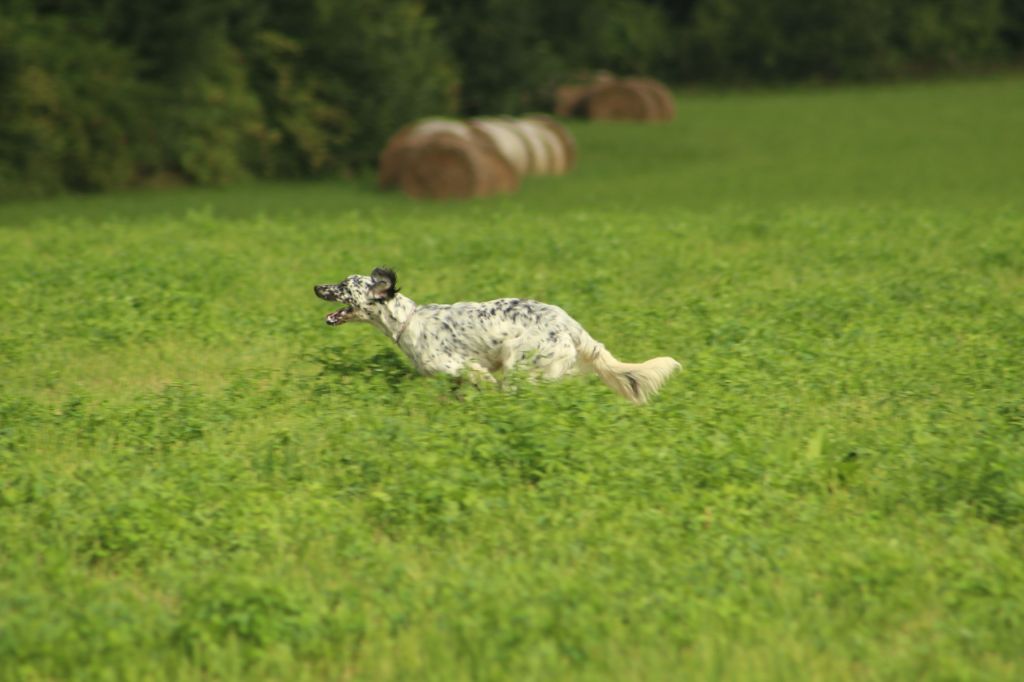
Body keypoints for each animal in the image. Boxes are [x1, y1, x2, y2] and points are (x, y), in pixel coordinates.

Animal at [311, 266, 679, 403]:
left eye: (344, 285)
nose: (316, 287)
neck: (410, 321)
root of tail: (570, 325)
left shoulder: (468, 369)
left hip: (520, 365)